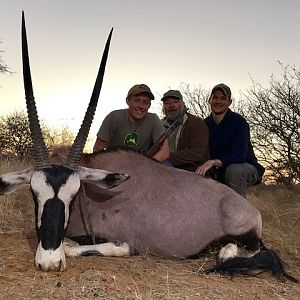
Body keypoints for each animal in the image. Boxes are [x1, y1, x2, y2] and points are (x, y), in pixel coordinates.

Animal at [0, 12, 296, 284]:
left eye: (73, 196)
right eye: (34, 193)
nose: (49, 263)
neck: (95, 192)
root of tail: (250, 209)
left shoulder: (126, 242)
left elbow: (83, 248)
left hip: (247, 236)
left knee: (236, 250)